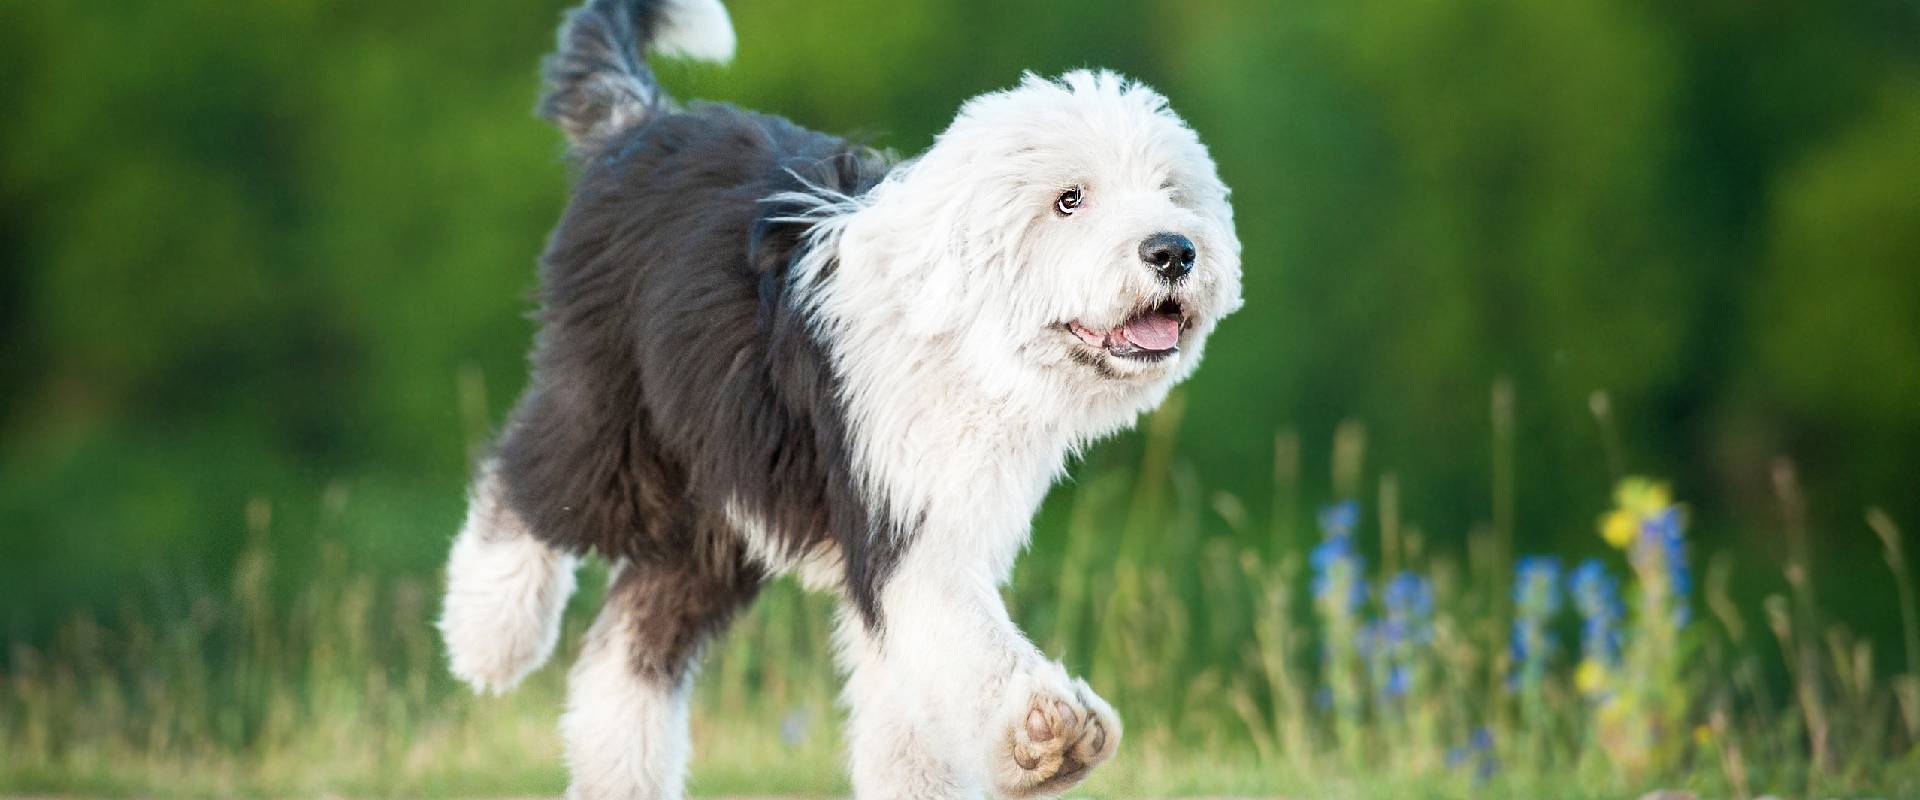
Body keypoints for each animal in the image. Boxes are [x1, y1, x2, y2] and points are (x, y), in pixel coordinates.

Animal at [435, 1, 1244, 790]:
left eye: (1170, 192)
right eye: (1069, 199)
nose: (1174, 250)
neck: (966, 338)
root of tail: (640, 123)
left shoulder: (942, 518)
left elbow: (909, 709)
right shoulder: (902, 516)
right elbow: (963, 635)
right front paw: (1048, 732)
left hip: (719, 507)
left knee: (627, 650)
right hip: (618, 415)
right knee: (527, 481)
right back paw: (491, 638)